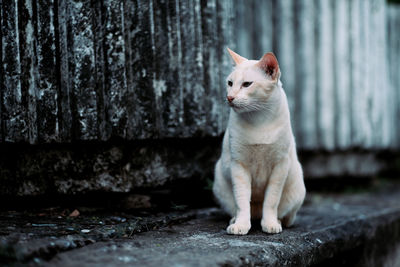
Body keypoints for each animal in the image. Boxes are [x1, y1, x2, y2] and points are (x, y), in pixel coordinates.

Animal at [214, 47, 304, 234]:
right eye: (230, 83)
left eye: (247, 84)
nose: (230, 97)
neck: (259, 119)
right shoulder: (238, 166)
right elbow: (242, 201)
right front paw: (240, 225)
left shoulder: (279, 166)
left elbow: (271, 201)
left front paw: (270, 224)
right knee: (238, 208)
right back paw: (235, 220)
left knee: (287, 216)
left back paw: (278, 221)